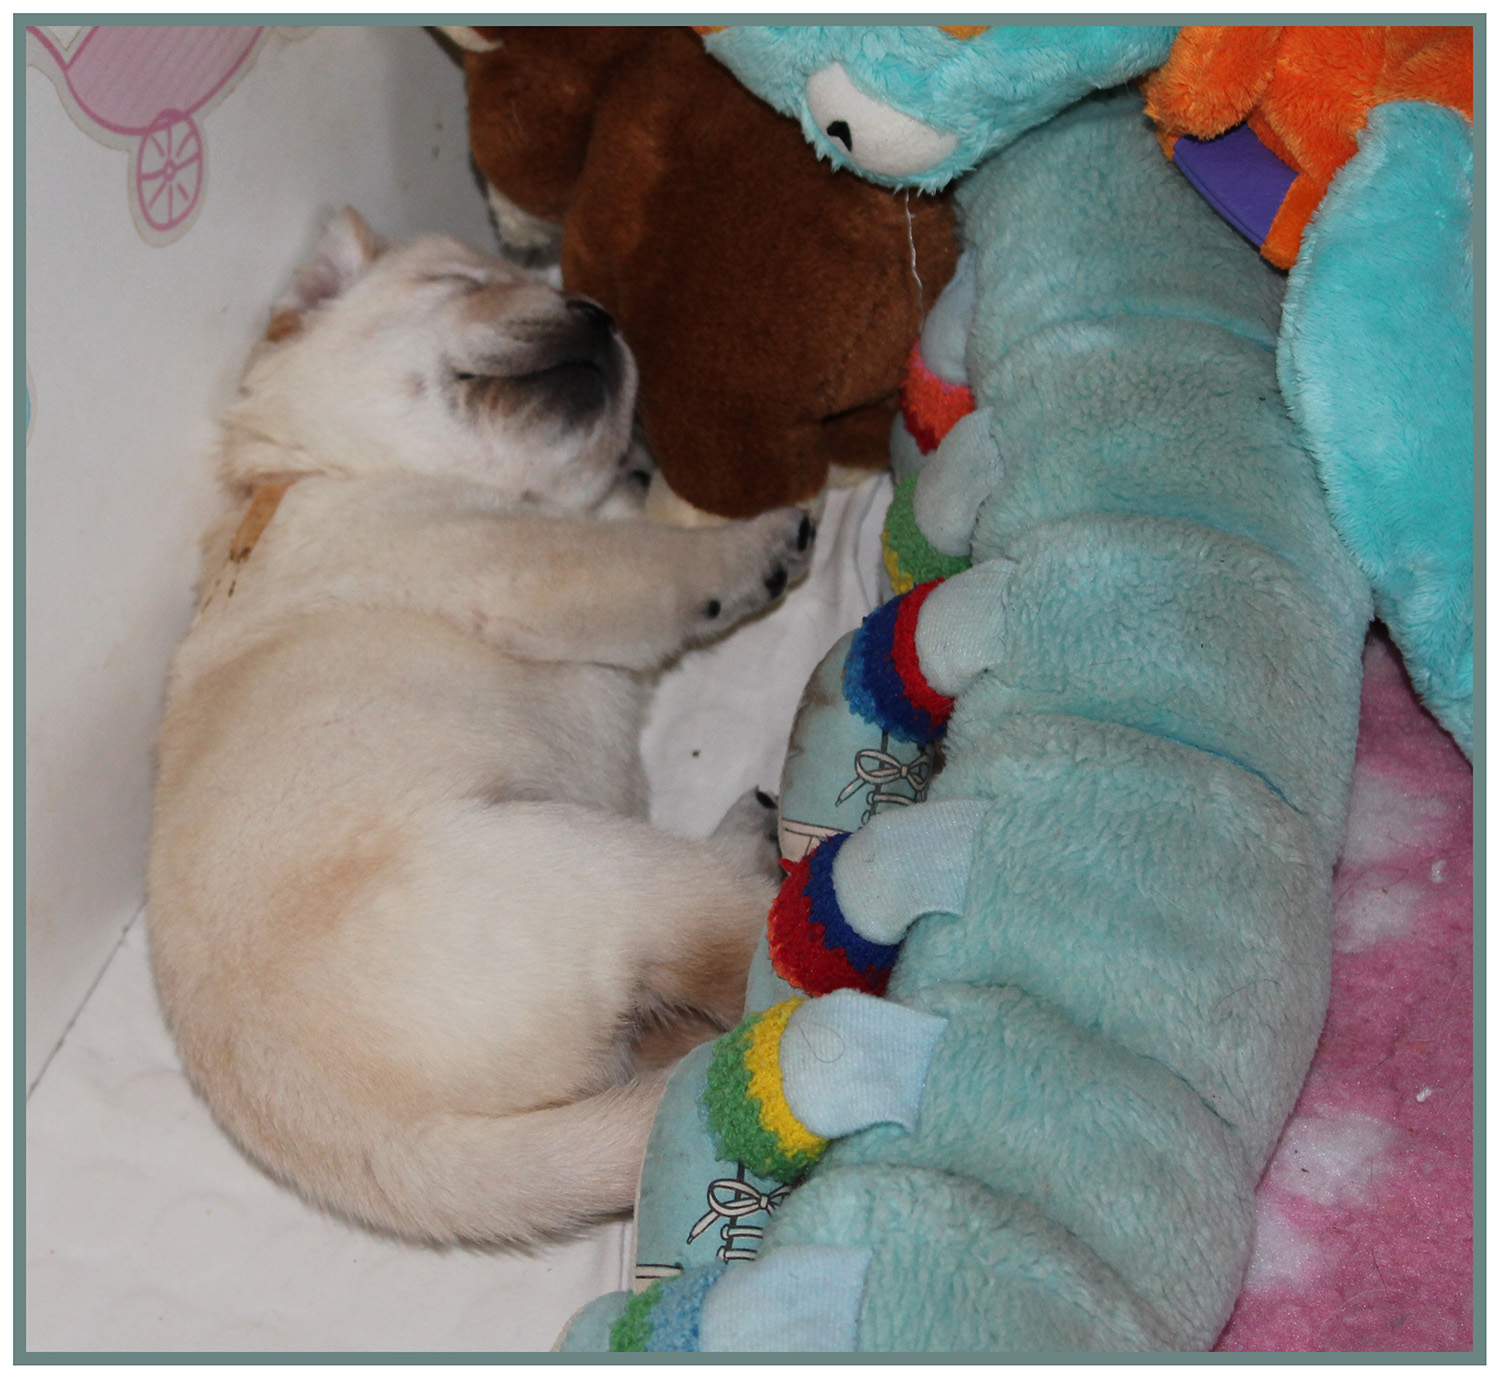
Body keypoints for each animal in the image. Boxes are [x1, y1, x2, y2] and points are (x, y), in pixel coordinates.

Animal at [146, 209, 814, 1246]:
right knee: (742, 945)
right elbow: (661, 559)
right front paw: (763, 538)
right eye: (460, 283)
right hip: (597, 867)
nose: (597, 312)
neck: (327, 467)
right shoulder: (528, 561)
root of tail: (394, 1151)